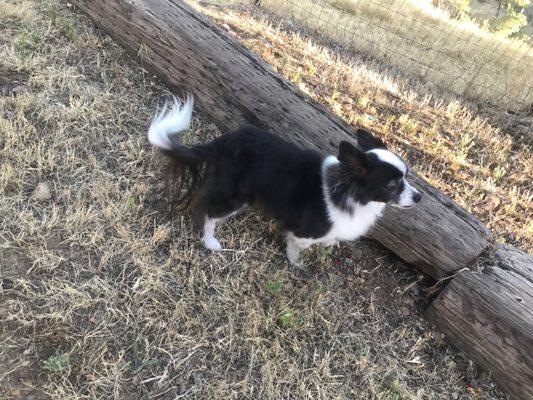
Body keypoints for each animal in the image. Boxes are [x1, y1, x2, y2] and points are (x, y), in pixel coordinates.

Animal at [149, 95, 420, 264]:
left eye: (407, 176)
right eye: (392, 186)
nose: (418, 197)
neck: (350, 191)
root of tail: (226, 141)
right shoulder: (304, 232)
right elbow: (298, 245)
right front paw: (295, 262)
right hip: (236, 197)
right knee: (208, 211)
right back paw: (210, 241)